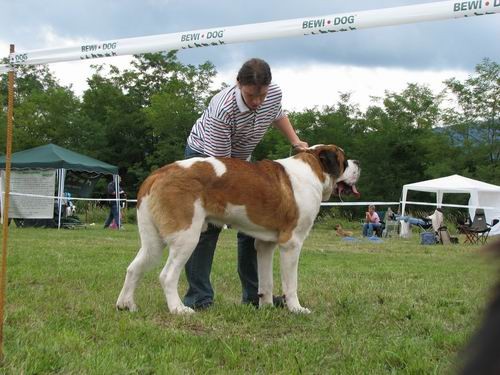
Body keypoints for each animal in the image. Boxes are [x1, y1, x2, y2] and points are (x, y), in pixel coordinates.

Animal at [117, 145, 360, 316]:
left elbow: (266, 280)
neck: (314, 169)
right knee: (167, 275)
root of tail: (157, 174)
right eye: (344, 160)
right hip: (186, 237)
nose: (357, 162)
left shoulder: (265, 244)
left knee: (134, 268)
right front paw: (296, 309)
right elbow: (291, 283)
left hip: (153, 242)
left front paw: (266, 306)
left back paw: (126, 305)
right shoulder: (291, 243)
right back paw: (179, 310)